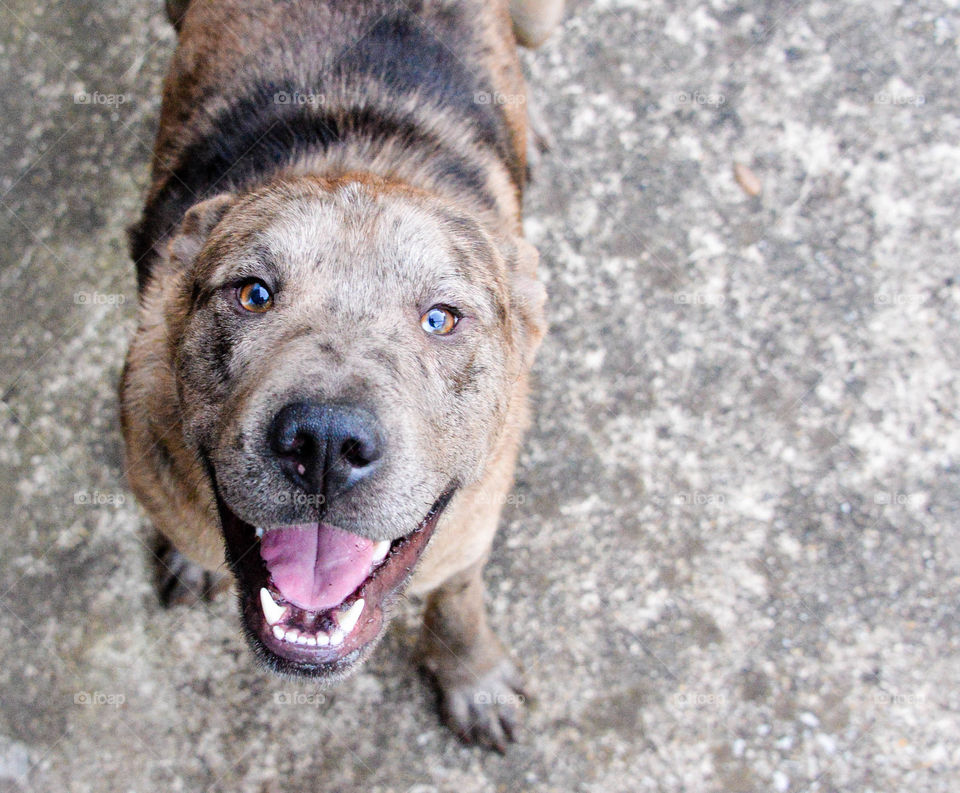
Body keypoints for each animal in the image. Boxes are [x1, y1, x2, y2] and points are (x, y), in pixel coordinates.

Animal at [123, 0, 564, 748]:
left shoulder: (472, 529)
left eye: (441, 318)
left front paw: (471, 673)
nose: (325, 443)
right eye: (253, 294)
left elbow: (459, 596)